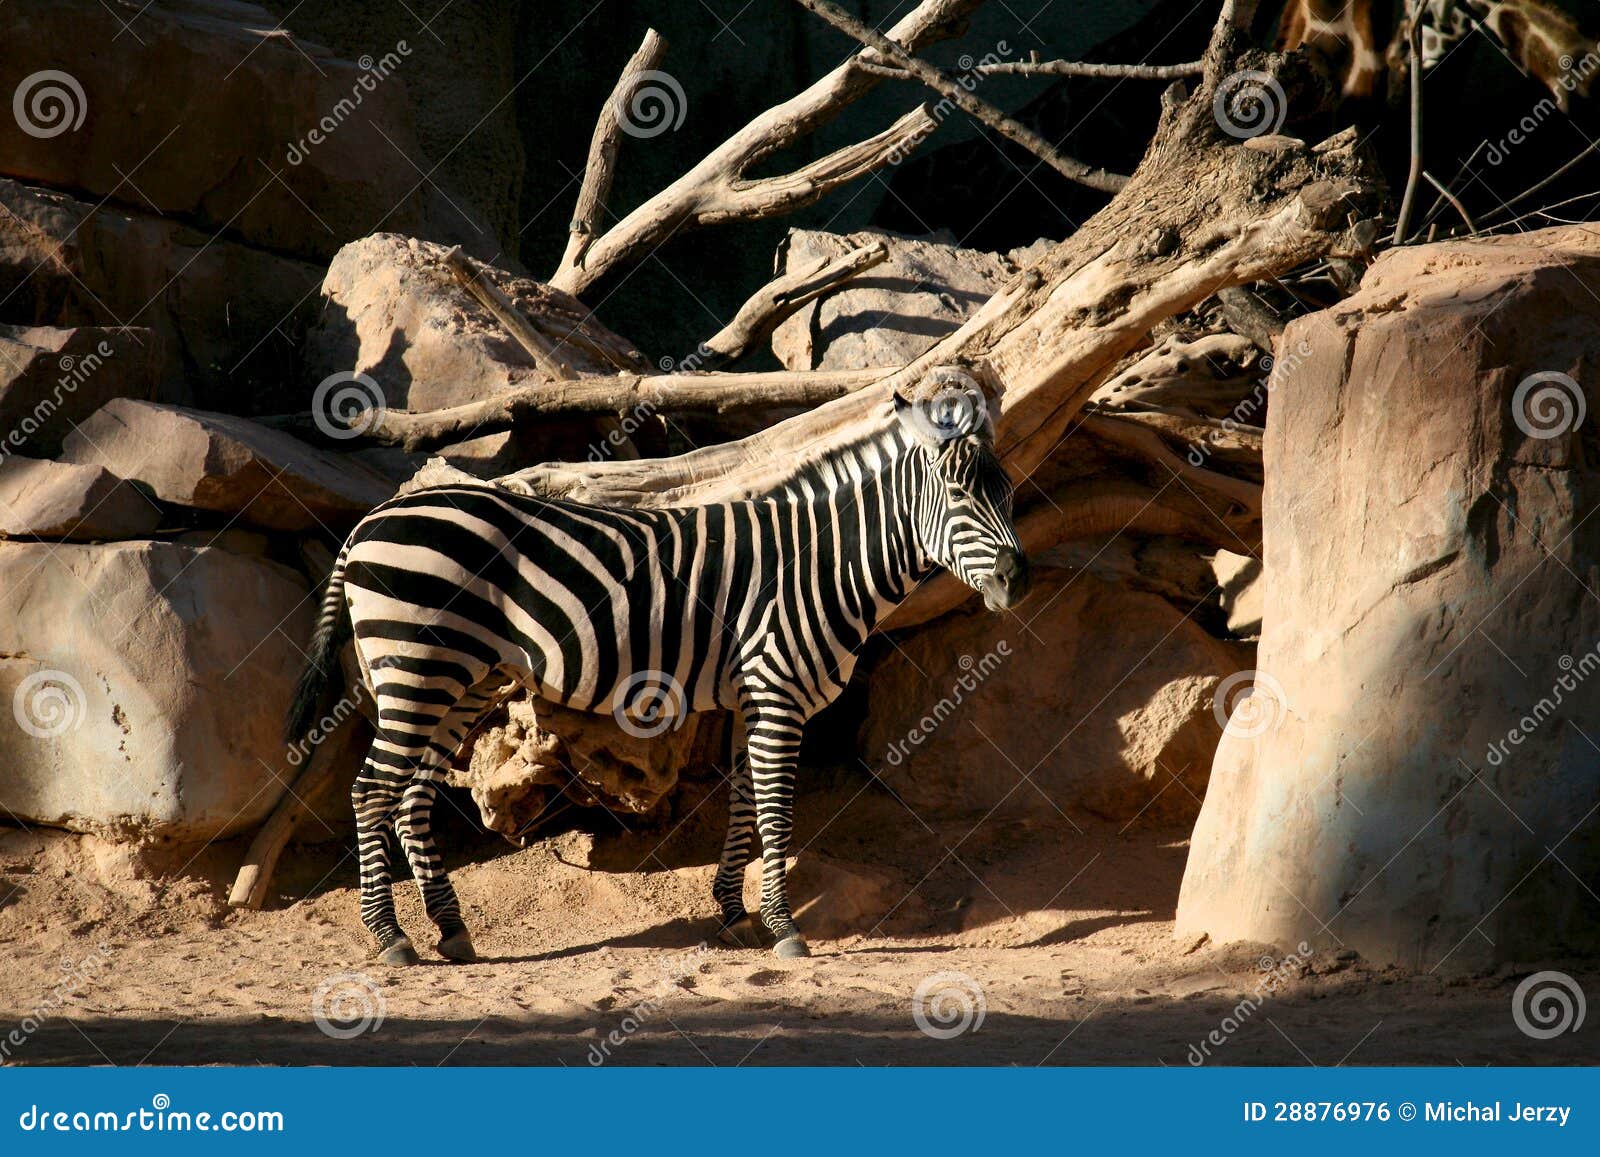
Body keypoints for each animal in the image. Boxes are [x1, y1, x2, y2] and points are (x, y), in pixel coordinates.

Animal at [285, 373, 1032, 964]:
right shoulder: (777, 689)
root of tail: (373, 517)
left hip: (463, 680)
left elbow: (744, 804)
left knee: (411, 794)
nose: (1017, 578)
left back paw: (451, 930)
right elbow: (776, 812)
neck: (819, 564)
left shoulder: (751, 696)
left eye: (1007, 493)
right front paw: (786, 928)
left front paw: (734, 914)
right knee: (371, 790)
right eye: (958, 496)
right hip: (416, 668)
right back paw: (390, 937)